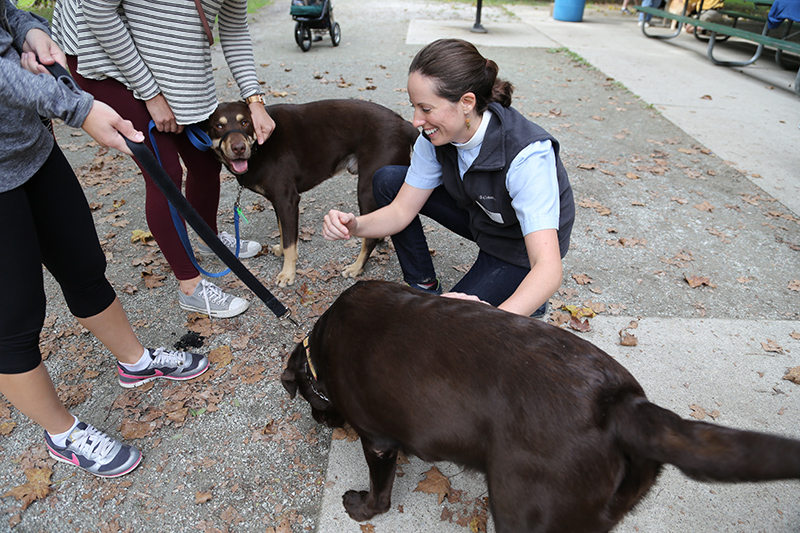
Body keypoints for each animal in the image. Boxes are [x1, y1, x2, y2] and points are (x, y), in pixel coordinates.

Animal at [206, 97, 418, 284]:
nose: (239, 148)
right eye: (218, 126)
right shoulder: (279, 203)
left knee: (370, 238)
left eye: (245, 122)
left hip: (366, 189)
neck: (259, 147)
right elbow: (283, 232)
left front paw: (288, 273)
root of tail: (404, 124)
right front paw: (281, 251)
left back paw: (356, 267)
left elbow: (290, 242)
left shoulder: (287, 200)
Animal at [280, 280, 800, 528]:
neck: (320, 349)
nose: (320, 419)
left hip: (521, 509)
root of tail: (621, 405)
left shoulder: (379, 441)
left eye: (307, 395)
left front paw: (363, 507)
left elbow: (383, 493)